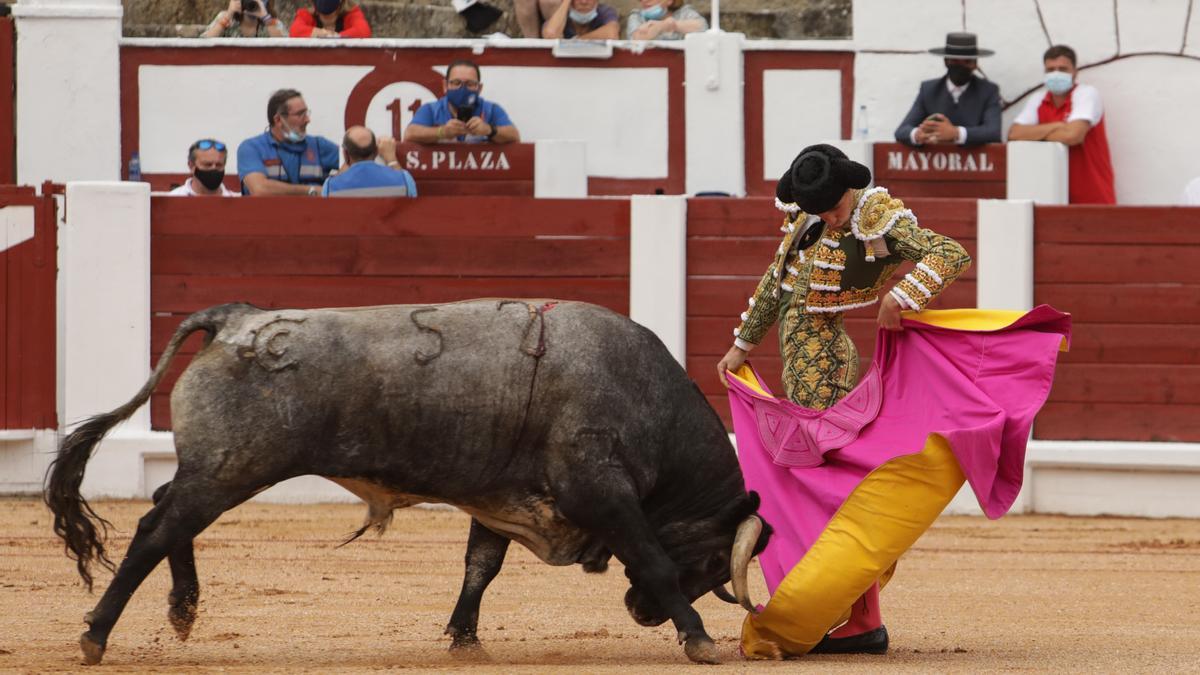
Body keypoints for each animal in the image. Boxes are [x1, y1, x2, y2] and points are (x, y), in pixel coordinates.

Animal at [46, 297, 768, 662]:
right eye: (713, 560)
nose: (640, 613)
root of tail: (234, 320)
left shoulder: (502, 498)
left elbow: (481, 565)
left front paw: (464, 640)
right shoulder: (602, 492)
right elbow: (652, 555)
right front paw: (700, 638)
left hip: (218, 467)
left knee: (167, 513)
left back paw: (183, 609)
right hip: (233, 465)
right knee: (154, 529)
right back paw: (96, 634)